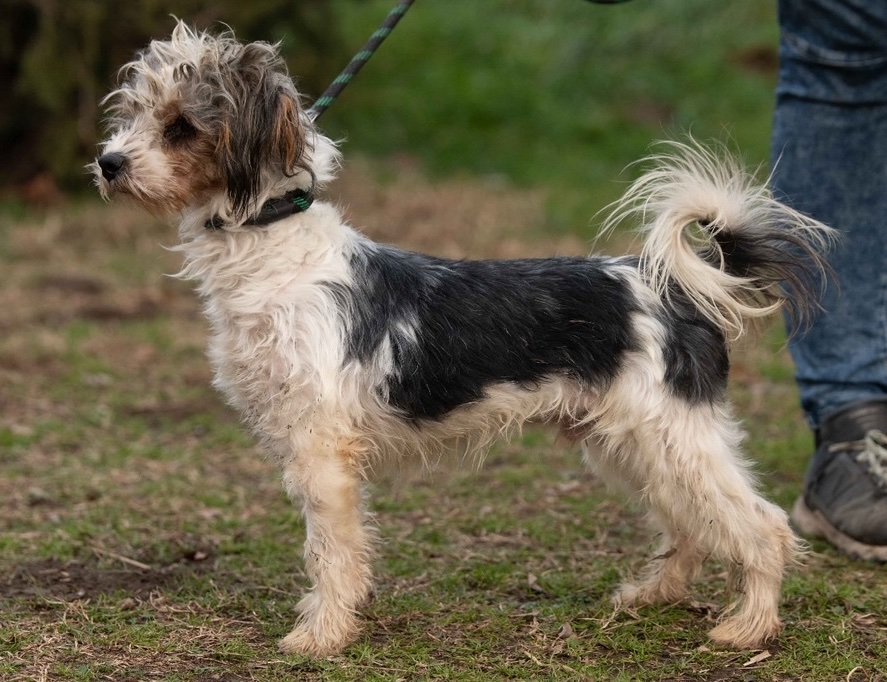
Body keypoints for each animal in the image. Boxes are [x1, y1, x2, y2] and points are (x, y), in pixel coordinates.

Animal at [91, 22, 834, 657]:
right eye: (132, 113)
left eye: (181, 127)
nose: (106, 163)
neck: (274, 251)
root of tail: (672, 286)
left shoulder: (321, 451)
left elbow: (332, 551)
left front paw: (322, 635)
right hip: (631, 444)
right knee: (687, 526)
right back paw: (653, 594)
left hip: (673, 438)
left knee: (763, 526)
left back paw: (750, 626)